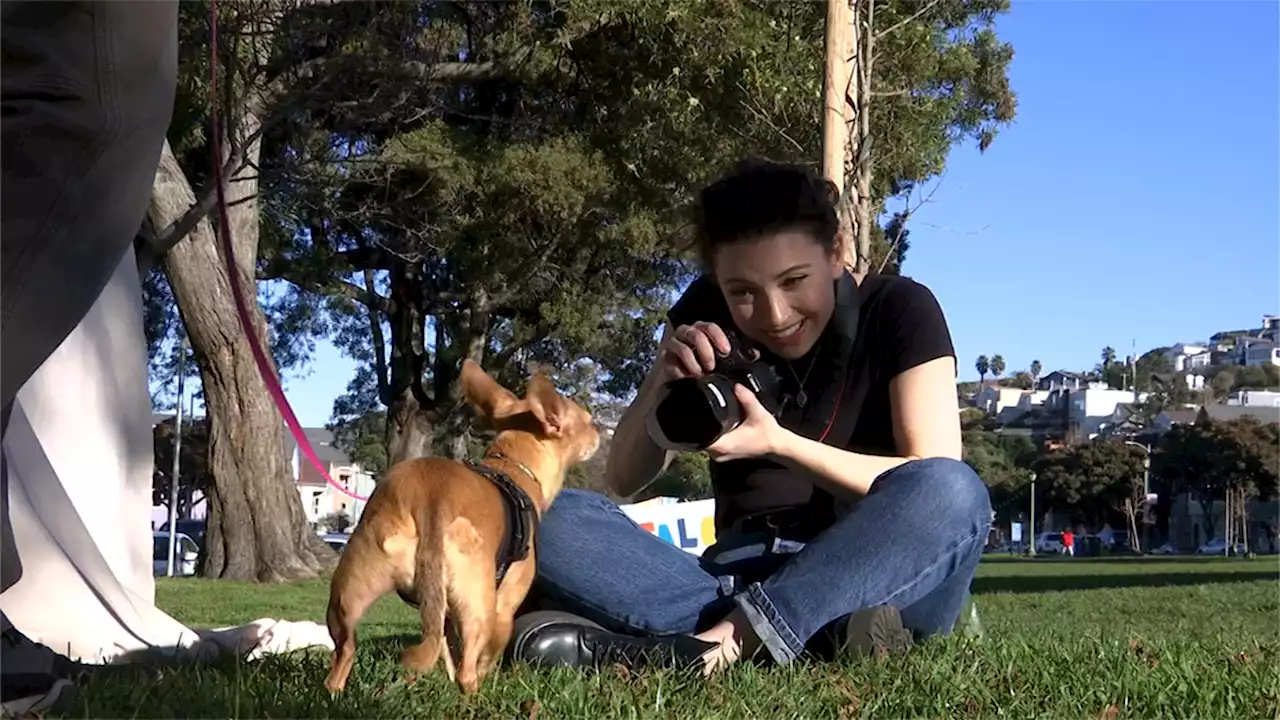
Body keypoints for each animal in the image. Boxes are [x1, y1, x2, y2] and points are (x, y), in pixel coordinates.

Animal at [322, 361, 596, 691]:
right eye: (588, 421)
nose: (601, 431)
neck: (513, 469)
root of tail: (430, 498)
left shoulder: (445, 614)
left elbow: (447, 649)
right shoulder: (504, 610)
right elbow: (480, 660)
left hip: (351, 591)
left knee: (344, 654)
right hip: (480, 606)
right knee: (468, 672)